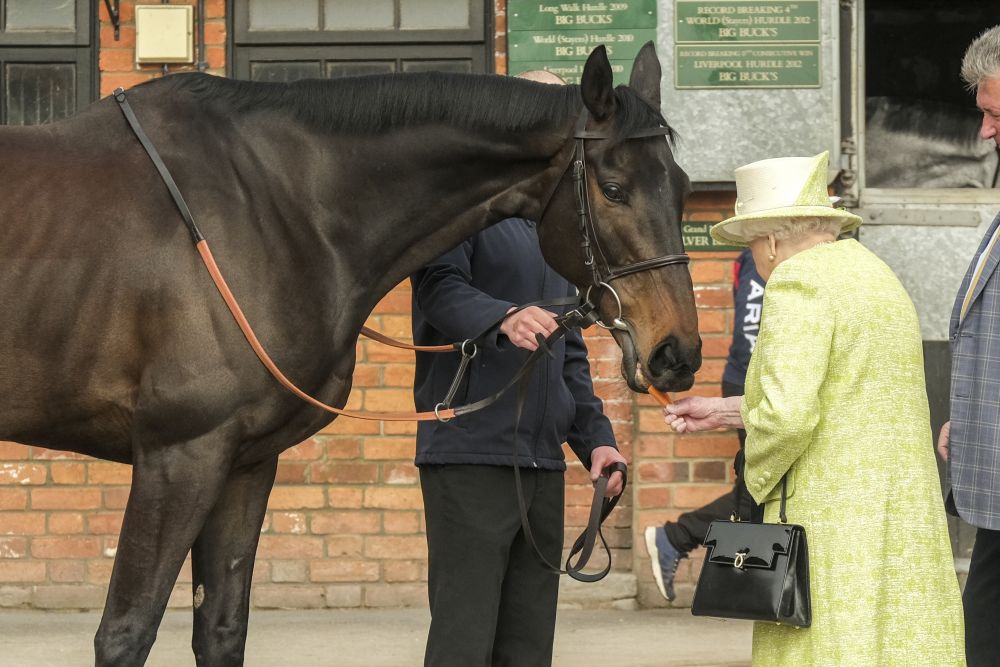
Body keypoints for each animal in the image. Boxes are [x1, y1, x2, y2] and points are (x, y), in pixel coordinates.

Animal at [0, 44, 700, 664]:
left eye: (683, 185)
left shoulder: (243, 463)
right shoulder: (179, 456)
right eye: (614, 187)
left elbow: (221, 631)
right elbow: (126, 633)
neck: (264, 211)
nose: (678, 351)